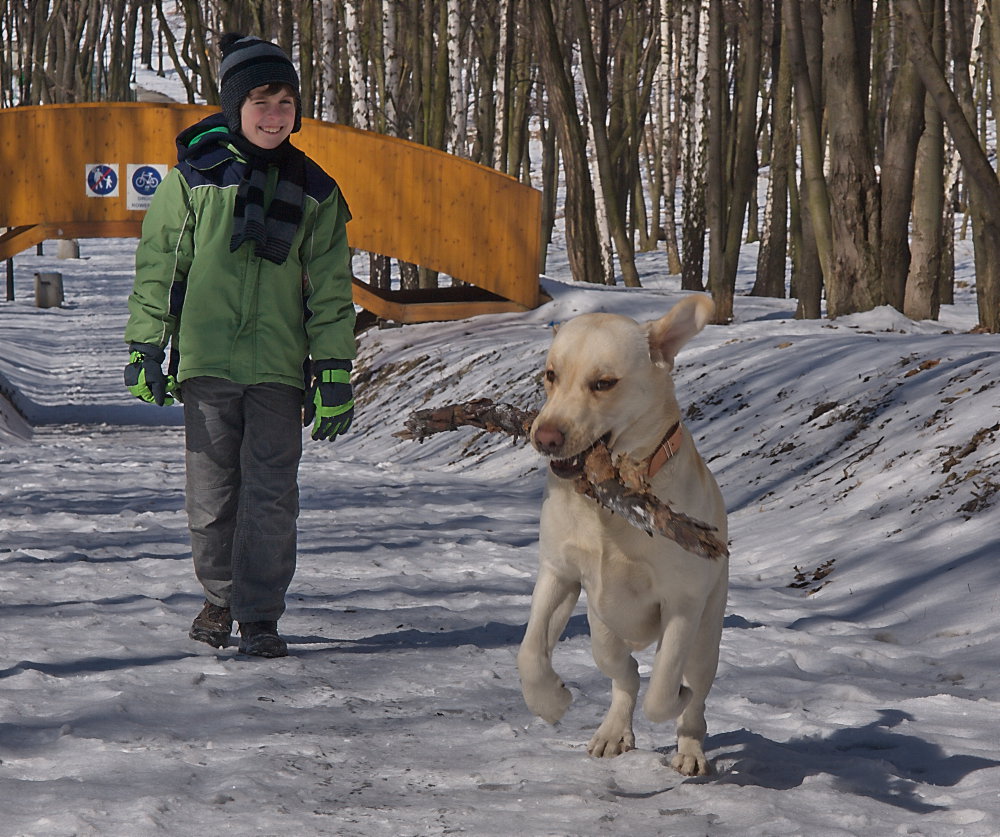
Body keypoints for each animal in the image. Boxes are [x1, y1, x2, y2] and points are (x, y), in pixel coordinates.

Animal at [517, 294, 728, 776]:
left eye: (604, 383)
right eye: (551, 374)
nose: (544, 437)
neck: (609, 501)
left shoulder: (683, 603)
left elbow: (664, 691)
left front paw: (676, 702)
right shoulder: (559, 572)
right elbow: (530, 651)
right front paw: (551, 701)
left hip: (708, 629)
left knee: (695, 690)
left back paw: (691, 748)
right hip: (602, 623)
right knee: (620, 670)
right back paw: (614, 730)